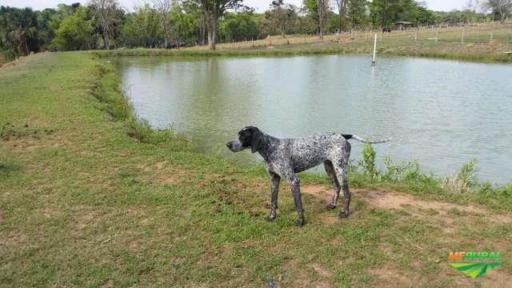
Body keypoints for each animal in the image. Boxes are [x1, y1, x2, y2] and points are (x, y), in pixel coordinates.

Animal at [225, 127, 388, 226]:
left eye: (243, 135)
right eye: (238, 134)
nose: (228, 144)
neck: (270, 148)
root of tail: (342, 135)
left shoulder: (293, 180)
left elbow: (298, 205)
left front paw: (300, 221)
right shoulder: (274, 179)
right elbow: (273, 201)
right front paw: (272, 217)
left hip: (340, 168)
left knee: (347, 192)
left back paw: (344, 213)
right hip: (329, 167)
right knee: (336, 187)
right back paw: (333, 205)